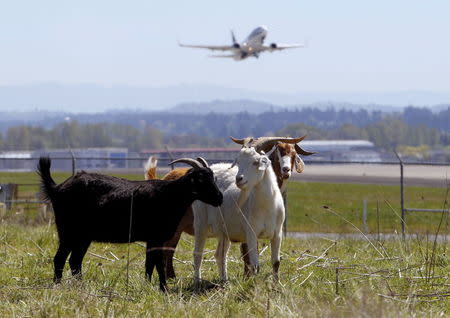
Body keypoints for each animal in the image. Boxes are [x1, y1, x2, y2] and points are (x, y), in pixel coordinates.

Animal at [37, 157, 222, 290]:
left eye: (214, 178)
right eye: (200, 180)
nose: (219, 198)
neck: (169, 194)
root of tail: (57, 188)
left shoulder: (152, 240)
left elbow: (149, 264)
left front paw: (148, 285)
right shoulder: (156, 238)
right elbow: (159, 264)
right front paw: (164, 288)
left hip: (83, 237)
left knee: (75, 261)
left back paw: (80, 286)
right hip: (68, 232)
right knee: (60, 258)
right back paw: (58, 286)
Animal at [191, 147, 284, 284]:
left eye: (255, 162)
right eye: (238, 162)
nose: (239, 179)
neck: (266, 207)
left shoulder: (277, 234)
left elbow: (276, 262)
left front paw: (276, 284)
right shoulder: (251, 233)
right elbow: (255, 265)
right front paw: (253, 285)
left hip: (224, 232)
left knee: (220, 254)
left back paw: (224, 280)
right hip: (200, 222)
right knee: (197, 253)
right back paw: (197, 281)